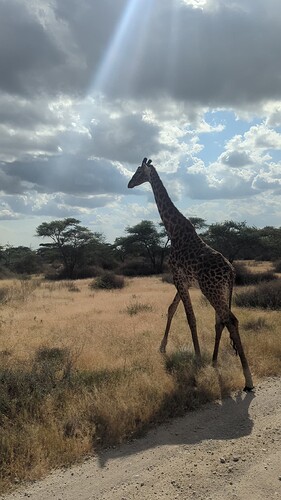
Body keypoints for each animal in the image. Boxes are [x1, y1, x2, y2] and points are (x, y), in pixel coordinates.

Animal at [128, 156, 253, 390]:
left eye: (138, 171)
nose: (129, 184)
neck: (173, 231)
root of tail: (231, 272)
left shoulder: (177, 276)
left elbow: (190, 317)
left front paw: (197, 358)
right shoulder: (183, 280)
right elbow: (172, 309)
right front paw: (162, 347)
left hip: (211, 289)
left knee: (230, 320)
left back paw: (248, 379)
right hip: (223, 290)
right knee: (222, 321)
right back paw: (214, 361)